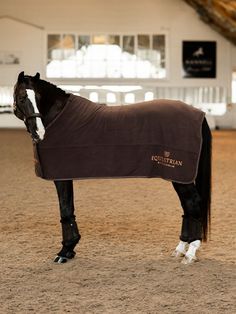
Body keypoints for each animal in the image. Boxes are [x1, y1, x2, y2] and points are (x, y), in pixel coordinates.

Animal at [13, 72, 212, 264]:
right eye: (22, 98)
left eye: (37, 97)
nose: (39, 133)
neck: (60, 117)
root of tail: (199, 114)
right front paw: (69, 250)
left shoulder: (62, 176)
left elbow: (66, 209)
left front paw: (65, 251)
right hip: (177, 176)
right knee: (187, 206)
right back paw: (180, 249)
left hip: (180, 174)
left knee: (193, 203)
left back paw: (190, 253)